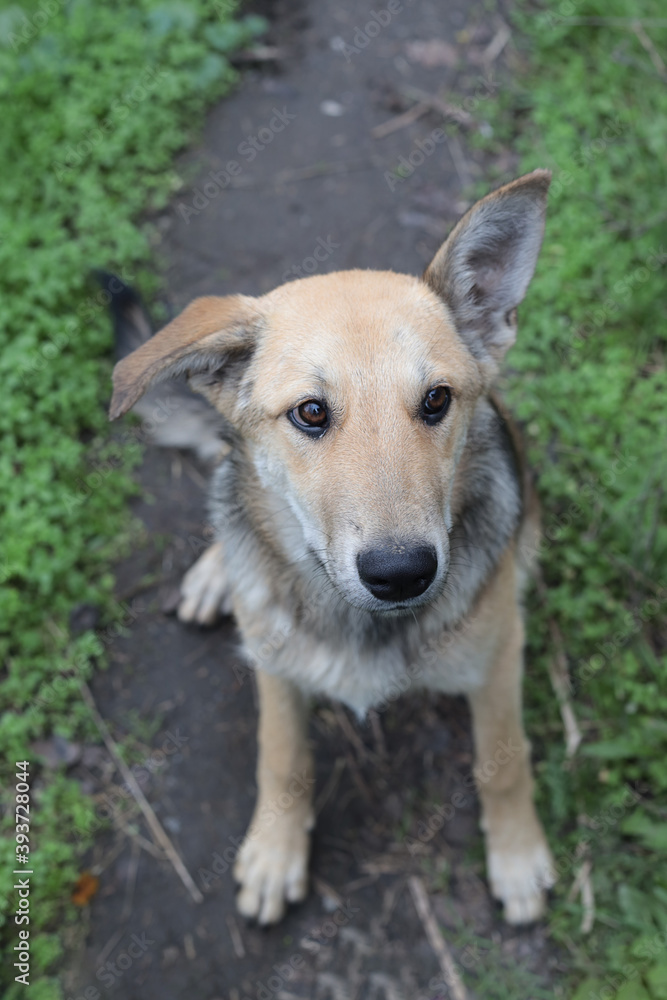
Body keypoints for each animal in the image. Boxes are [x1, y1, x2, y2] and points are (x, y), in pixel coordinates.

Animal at [111, 168, 560, 924]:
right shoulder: (276, 669)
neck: (359, 621)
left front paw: (517, 855)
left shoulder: (499, 657)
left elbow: (503, 759)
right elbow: (281, 757)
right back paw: (214, 572)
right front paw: (275, 851)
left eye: (437, 400)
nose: (401, 573)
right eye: (311, 413)